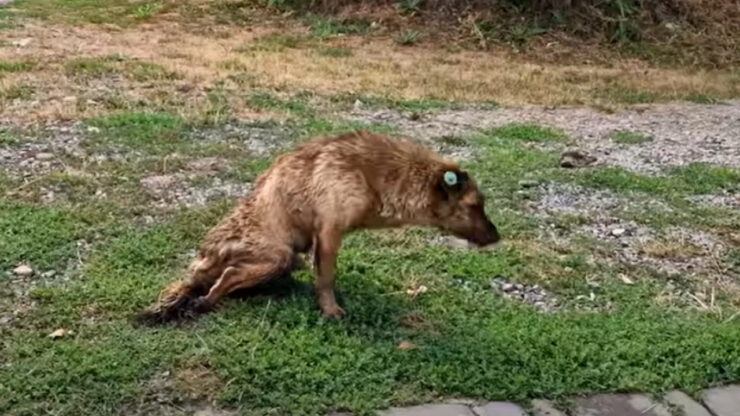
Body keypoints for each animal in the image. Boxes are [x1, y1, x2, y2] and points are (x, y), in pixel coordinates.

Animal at [137, 129, 500, 322]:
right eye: (474, 206)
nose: (498, 237)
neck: (375, 177)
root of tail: (204, 257)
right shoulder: (328, 233)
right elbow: (326, 278)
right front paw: (330, 309)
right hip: (278, 256)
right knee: (223, 280)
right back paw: (208, 302)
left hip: (285, 260)